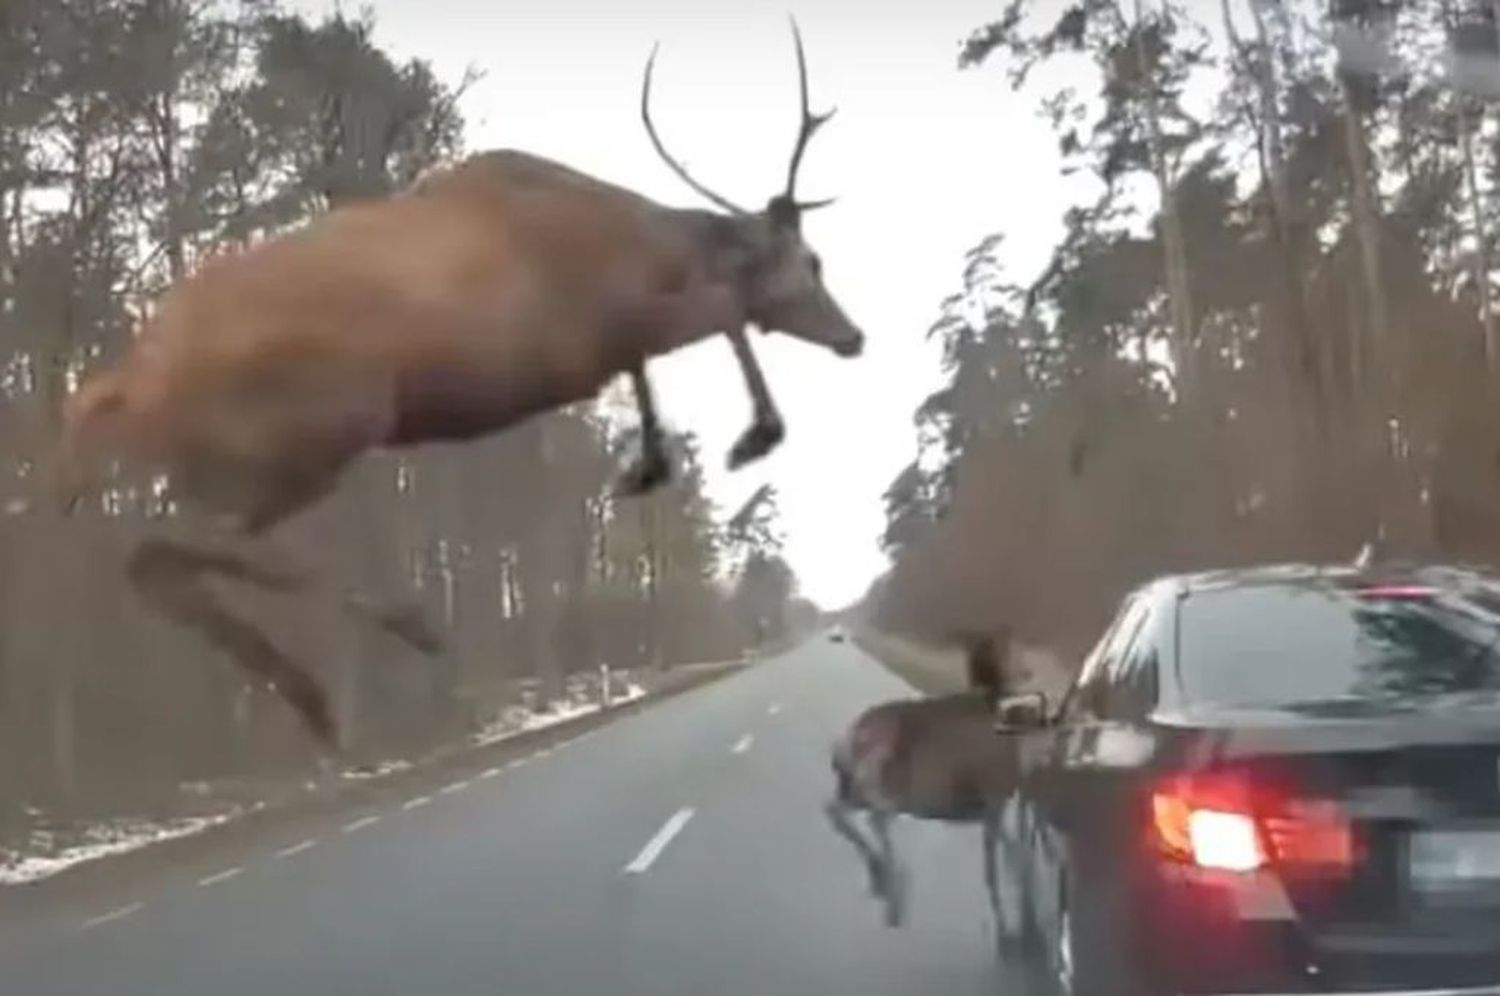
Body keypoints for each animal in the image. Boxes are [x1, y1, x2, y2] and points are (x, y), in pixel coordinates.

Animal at [46, 19, 864, 747]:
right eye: (812, 261)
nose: (853, 336)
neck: (636, 247)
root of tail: (132, 381)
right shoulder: (584, 335)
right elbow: (720, 314)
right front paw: (752, 437)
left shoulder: (599, 347)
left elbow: (654, 361)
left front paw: (651, 463)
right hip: (314, 428)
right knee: (183, 545)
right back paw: (402, 631)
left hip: (232, 461)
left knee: (152, 559)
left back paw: (316, 700)